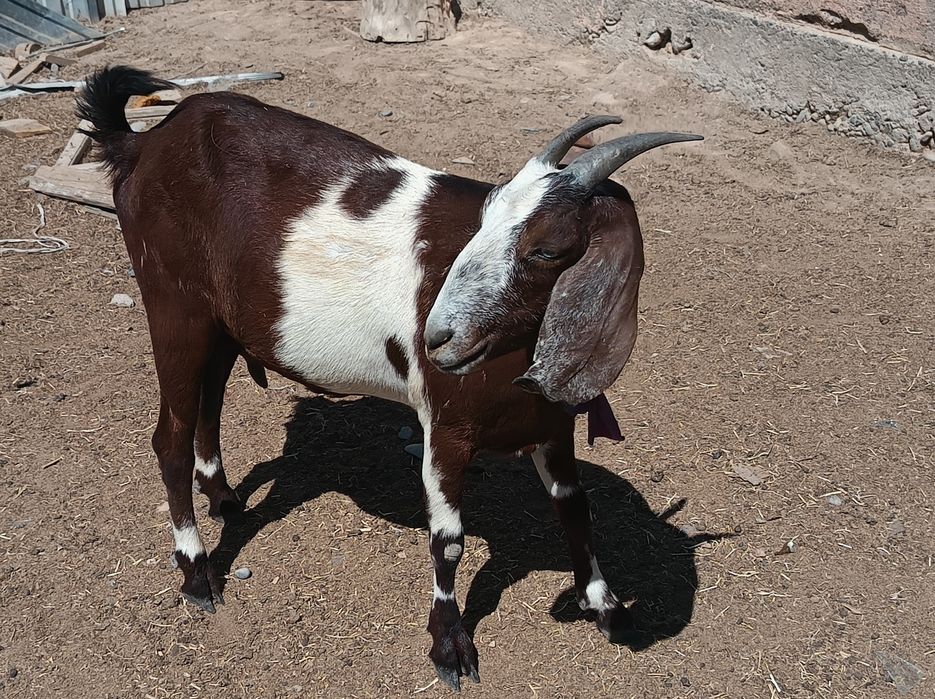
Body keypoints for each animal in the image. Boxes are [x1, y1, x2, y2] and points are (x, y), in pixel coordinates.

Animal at [77, 66, 702, 691]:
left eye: (549, 249)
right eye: (484, 219)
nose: (438, 338)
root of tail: (145, 144)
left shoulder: (552, 425)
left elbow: (574, 508)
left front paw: (604, 605)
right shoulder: (446, 427)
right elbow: (448, 542)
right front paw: (449, 647)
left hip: (221, 324)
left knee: (210, 404)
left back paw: (225, 499)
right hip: (173, 307)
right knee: (170, 438)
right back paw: (197, 573)